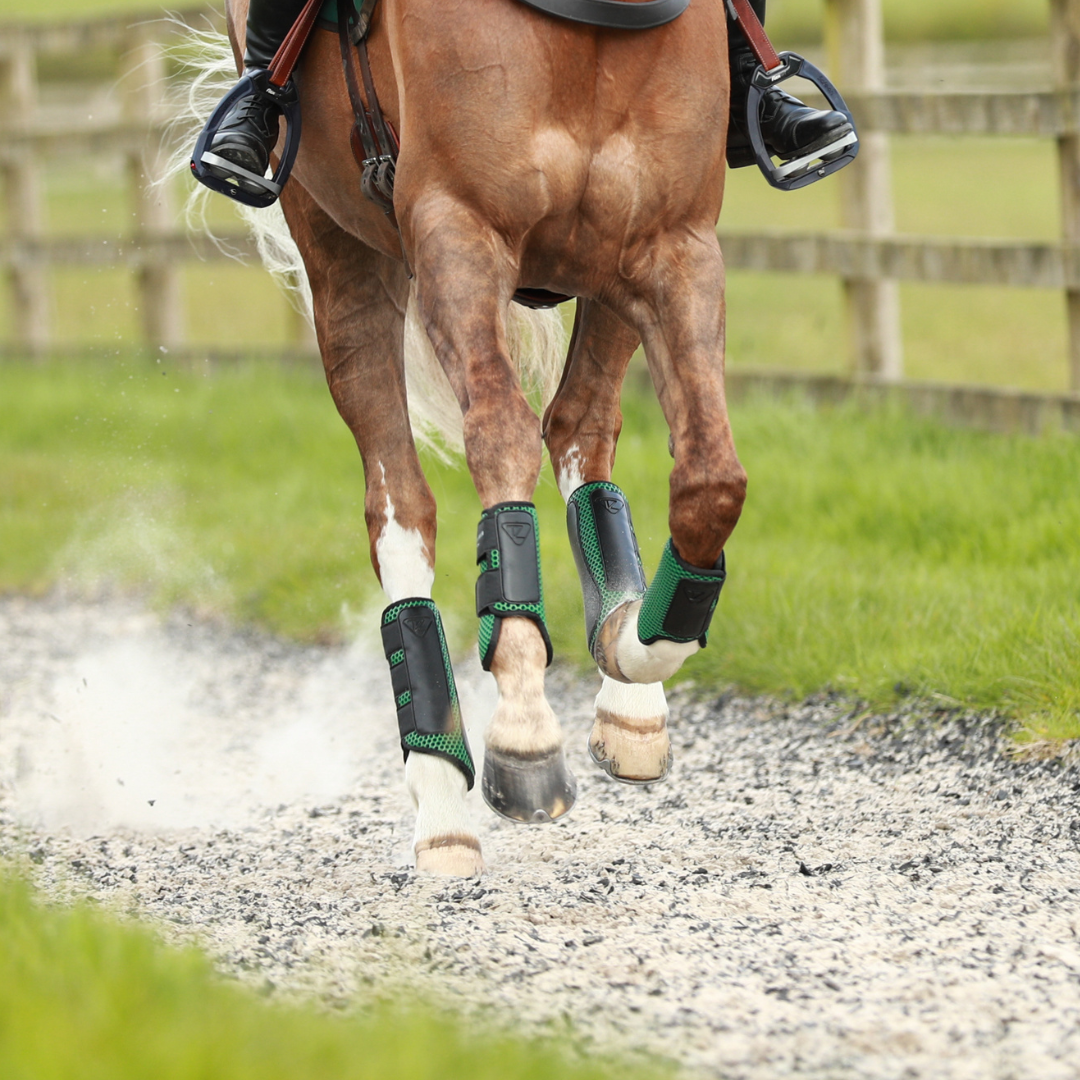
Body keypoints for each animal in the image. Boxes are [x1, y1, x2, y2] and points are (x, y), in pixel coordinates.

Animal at [190, 0, 747, 876]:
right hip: (341, 257)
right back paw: (441, 792)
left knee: (582, 423)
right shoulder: (458, 230)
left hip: (608, 265)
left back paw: (630, 702)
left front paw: (630, 647)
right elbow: (499, 442)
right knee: (400, 506)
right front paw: (523, 731)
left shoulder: (673, 245)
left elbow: (710, 483)